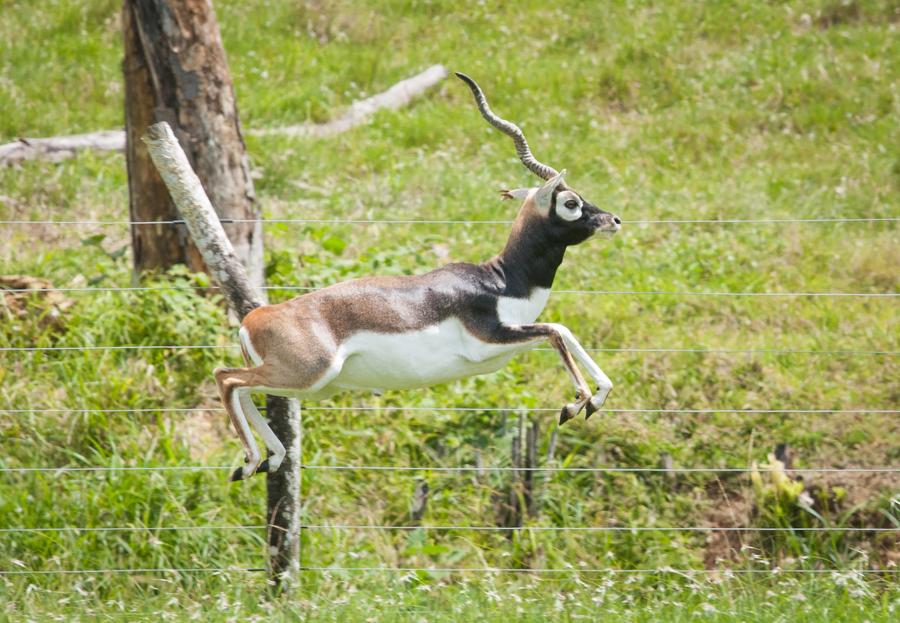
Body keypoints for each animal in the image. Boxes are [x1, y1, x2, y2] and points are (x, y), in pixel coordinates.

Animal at [215, 74, 624, 482]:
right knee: (227, 377)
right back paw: (253, 459)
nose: (614, 220)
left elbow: (563, 331)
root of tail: (253, 319)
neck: (501, 281)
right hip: (308, 373)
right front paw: (577, 403)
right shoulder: (490, 338)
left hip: (307, 384)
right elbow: (556, 330)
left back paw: (267, 459)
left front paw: (595, 398)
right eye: (571, 203)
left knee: (241, 387)